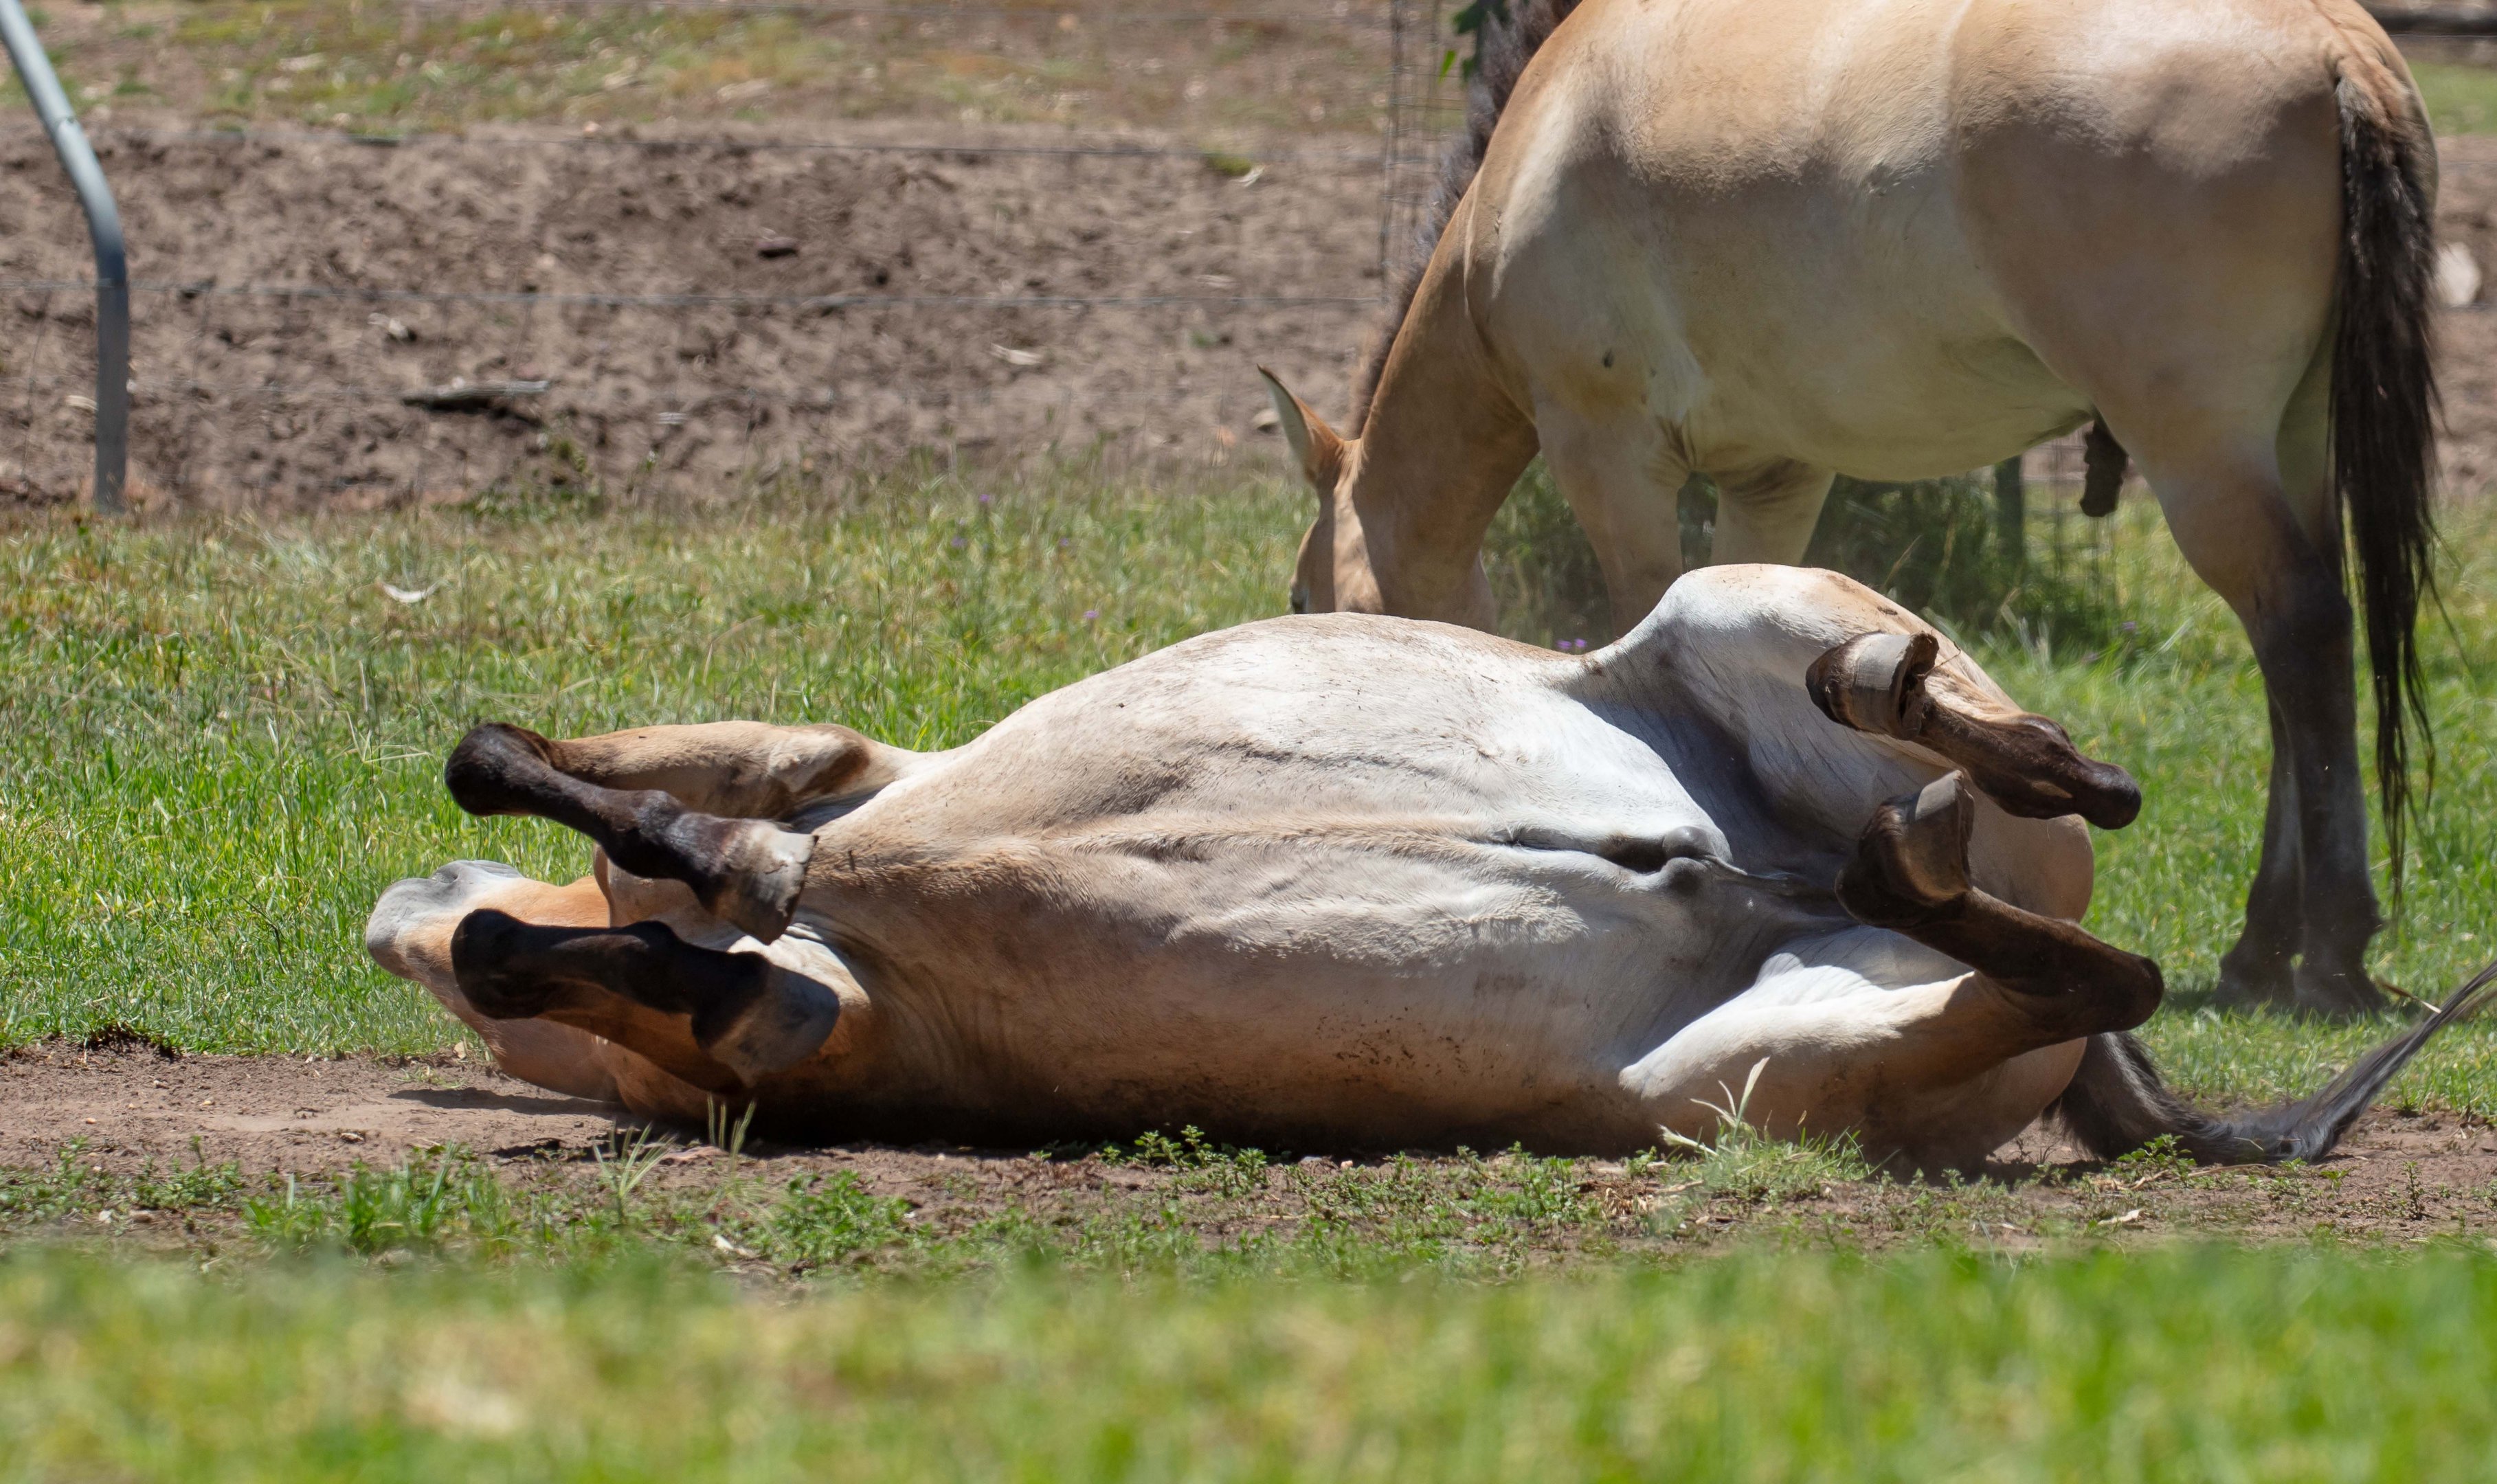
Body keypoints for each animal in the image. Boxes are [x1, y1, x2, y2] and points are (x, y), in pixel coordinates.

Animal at [364, 567, 2481, 1173]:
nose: (393, 927)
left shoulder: (830, 792)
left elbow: (607, 814)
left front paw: (682, 858)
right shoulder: (810, 1020)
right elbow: (656, 921)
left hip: (1725, 601)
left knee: (2010, 777)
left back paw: (1961, 742)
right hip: (1778, 1067)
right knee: (2073, 964)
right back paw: (1914, 858)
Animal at [1259, 0, 2439, 1016]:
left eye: (1301, 601)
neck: (1542, 142)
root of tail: (2326, 44)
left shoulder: (1611, 457)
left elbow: (1643, 617)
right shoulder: (1772, 478)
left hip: (2197, 451)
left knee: (2301, 633)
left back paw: (2326, 954)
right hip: (2288, 437)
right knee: (2296, 662)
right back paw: (2260, 952)